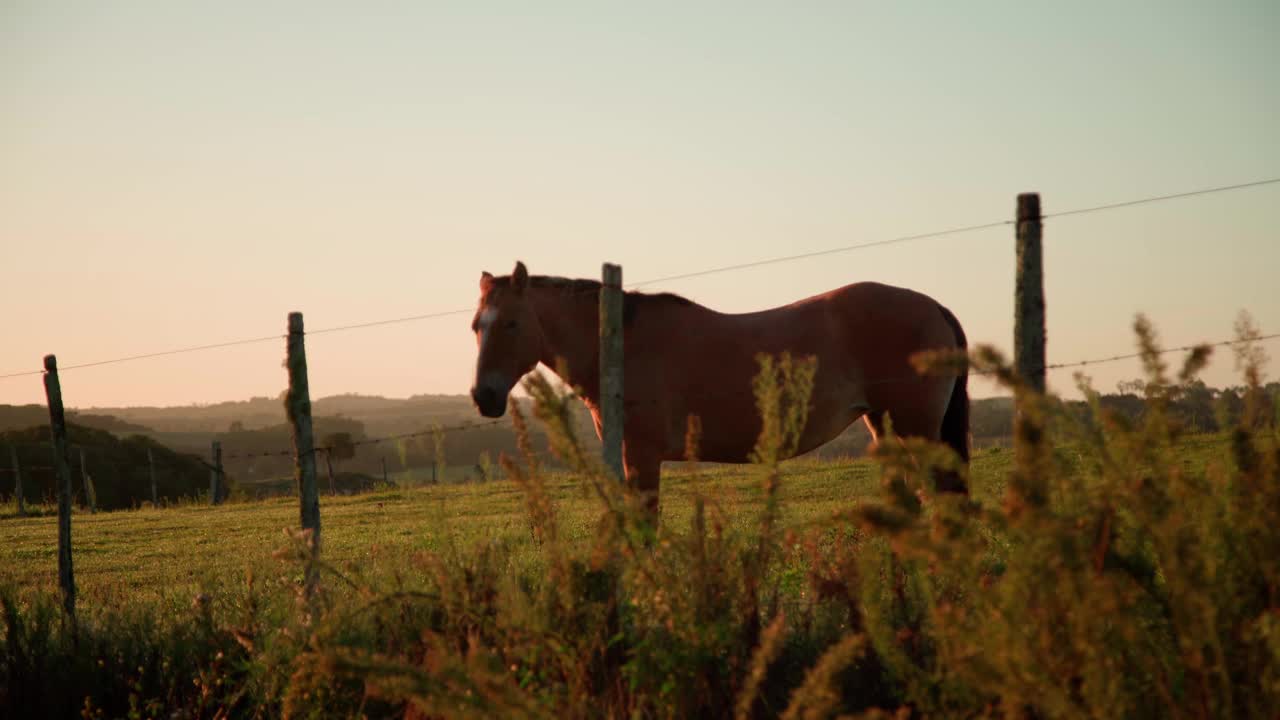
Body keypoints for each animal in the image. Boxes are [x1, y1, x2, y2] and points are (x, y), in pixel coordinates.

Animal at [471, 260, 967, 512]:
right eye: (477, 325)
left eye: (511, 323)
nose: (483, 397)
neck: (621, 344)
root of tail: (934, 306)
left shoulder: (642, 456)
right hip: (885, 426)